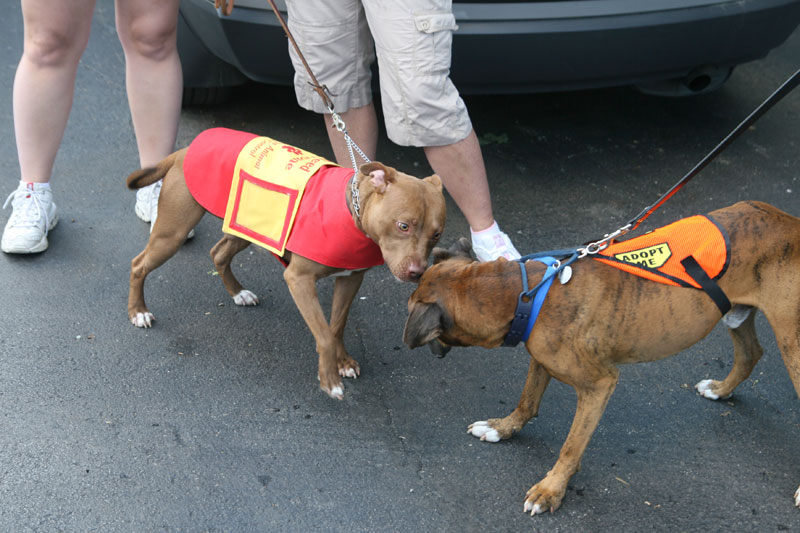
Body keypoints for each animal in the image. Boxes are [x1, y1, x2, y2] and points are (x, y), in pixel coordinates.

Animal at [128, 139, 446, 402]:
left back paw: (238, 293)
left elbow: (337, 326)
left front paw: (342, 362)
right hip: (173, 233)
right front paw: (329, 380)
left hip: (248, 227)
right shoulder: (299, 279)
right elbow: (324, 335)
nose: (418, 273)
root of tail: (185, 150)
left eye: (437, 235)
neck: (352, 210)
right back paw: (138, 312)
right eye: (403, 226)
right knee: (138, 265)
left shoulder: (351, 279)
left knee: (218, 253)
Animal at [406, 202, 800, 512]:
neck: (522, 292)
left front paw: (551, 490)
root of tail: (790, 222)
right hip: (736, 311)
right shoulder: (542, 358)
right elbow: (527, 400)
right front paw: (503, 428)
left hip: (792, 343)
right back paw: (720, 390)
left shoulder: (599, 386)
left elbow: (571, 446)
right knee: (750, 353)